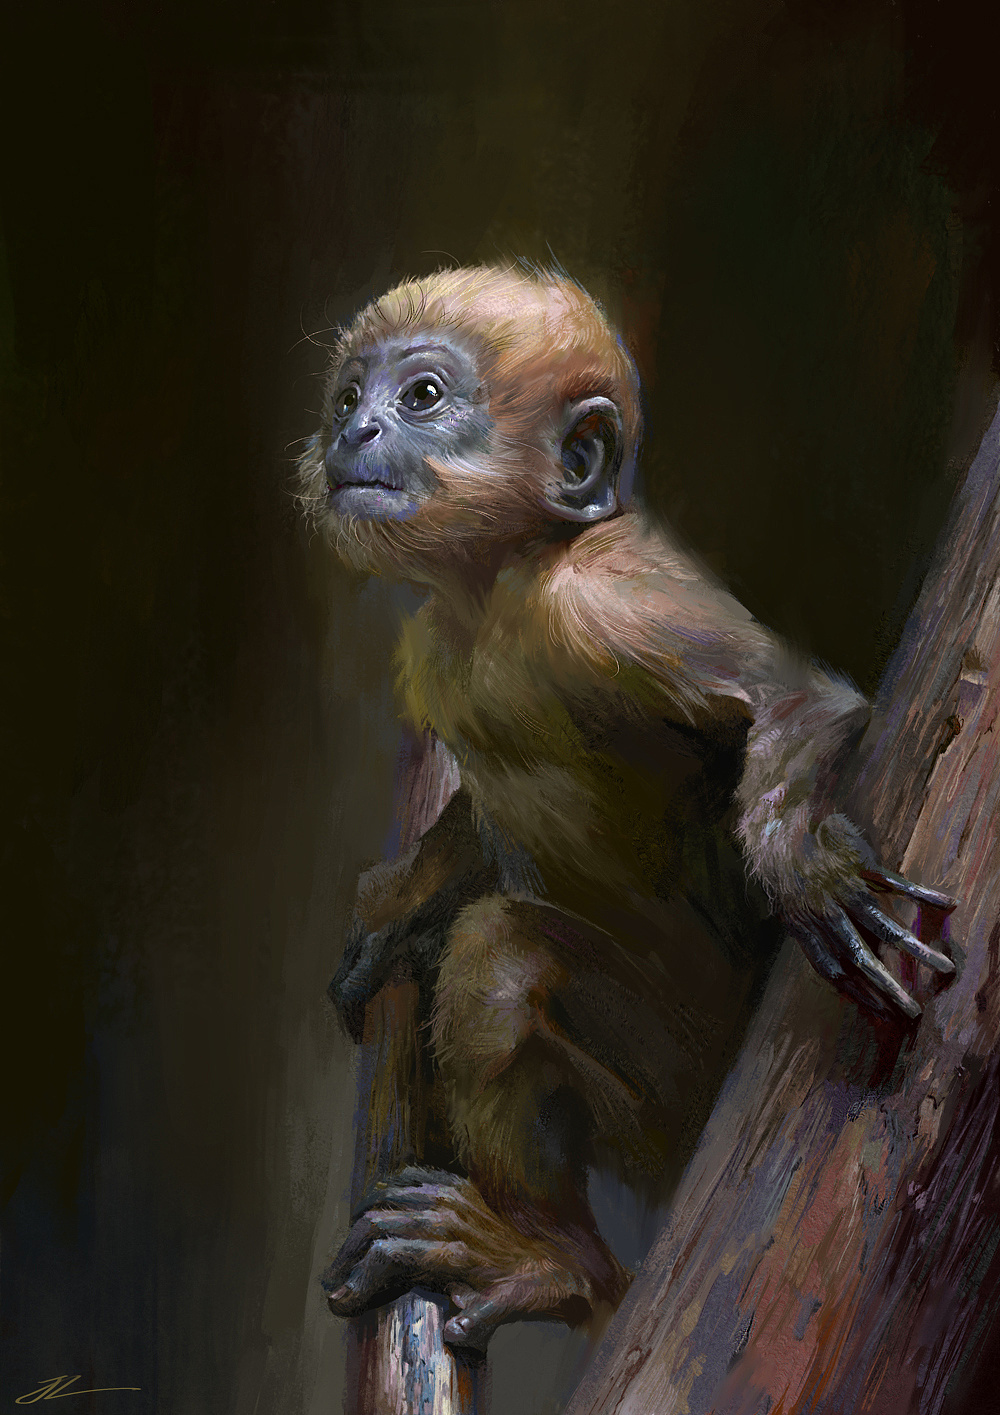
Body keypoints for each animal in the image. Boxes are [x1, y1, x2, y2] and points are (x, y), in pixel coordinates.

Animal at [297, 264, 955, 1350]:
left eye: (422, 396)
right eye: (350, 394)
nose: (354, 431)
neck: (503, 587)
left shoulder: (606, 609)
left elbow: (801, 698)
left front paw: (802, 870)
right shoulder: (437, 647)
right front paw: (397, 906)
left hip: (682, 1065)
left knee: (498, 962)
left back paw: (558, 1267)